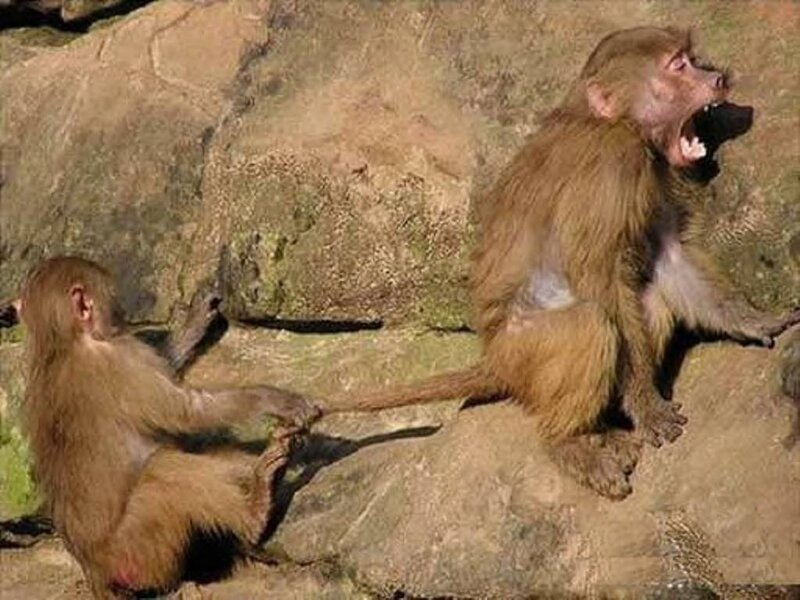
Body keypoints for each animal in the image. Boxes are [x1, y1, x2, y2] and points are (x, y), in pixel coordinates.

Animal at [5, 256, 320, 598]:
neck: (60, 342)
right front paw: (274, 399)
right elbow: (187, 411)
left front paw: (195, 320)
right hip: (138, 553)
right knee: (164, 467)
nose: (122, 316)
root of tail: (94, 572)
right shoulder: (122, 357)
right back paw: (255, 512)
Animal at [321, 27, 800, 499]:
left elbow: (670, 255)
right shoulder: (614, 165)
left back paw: (601, 431)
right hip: (526, 351)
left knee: (650, 299)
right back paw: (568, 442)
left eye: (692, 58)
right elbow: (598, 277)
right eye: (678, 66)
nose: (717, 76)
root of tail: (495, 358)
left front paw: (754, 320)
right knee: (590, 322)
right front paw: (647, 406)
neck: (613, 121)